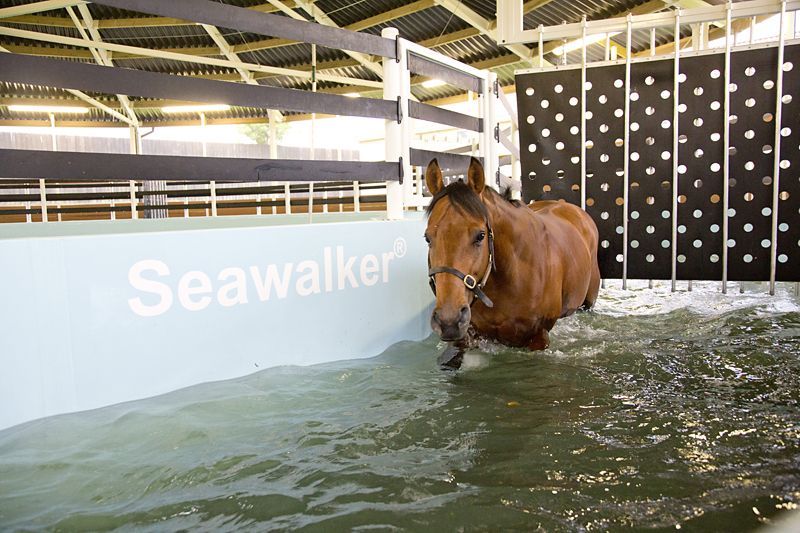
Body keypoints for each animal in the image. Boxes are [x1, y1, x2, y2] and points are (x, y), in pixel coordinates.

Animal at [424, 157, 601, 368]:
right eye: (427, 238)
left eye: (480, 235)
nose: (449, 320)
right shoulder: (468, 335)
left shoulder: (539, 338)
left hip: (587, 304)